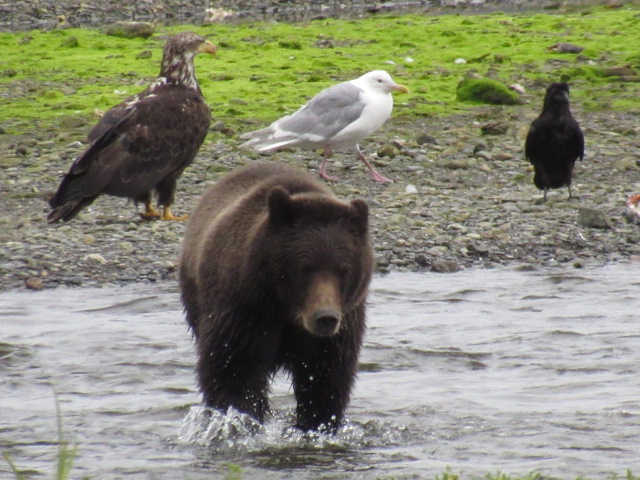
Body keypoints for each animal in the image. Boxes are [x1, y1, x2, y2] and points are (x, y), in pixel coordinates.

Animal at [178, 161, 372, 432]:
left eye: (343, 269)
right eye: (305, 267)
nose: (325, 318)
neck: (287, 311)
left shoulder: (339, 330)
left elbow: (326, 381)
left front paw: (316, 423)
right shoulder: (244, 310)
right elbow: (234, 371)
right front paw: (241, 418)